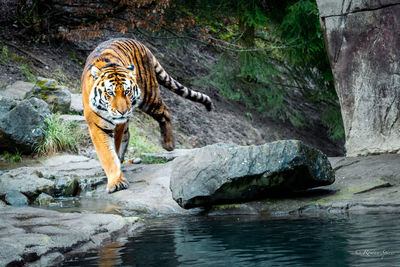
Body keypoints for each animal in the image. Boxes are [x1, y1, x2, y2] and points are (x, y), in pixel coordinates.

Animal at [81, 38, 212, 193]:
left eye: (127, 91)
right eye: (110, 92)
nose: (123, 111)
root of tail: (139, 43)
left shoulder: (118, 124)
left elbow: (113, 149)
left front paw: (116, 180)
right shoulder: (97, 126)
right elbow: (107, 154)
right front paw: (117, 180)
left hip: (148, 96)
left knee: (164, 109)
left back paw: (168, 144)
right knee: (128, 134)